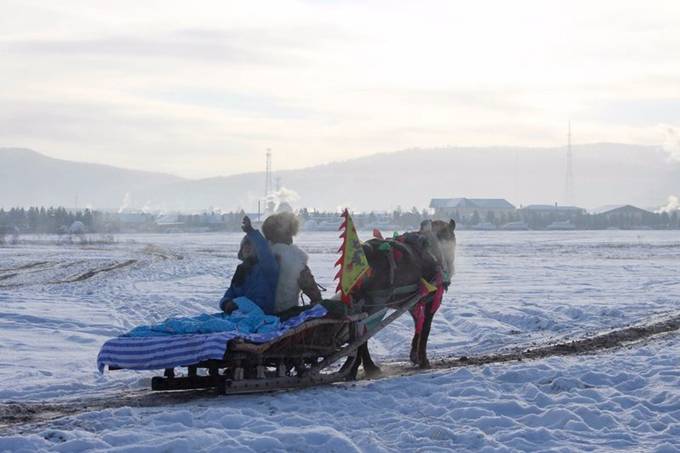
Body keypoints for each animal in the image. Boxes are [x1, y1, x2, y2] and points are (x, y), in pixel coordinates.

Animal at [350, 219, 456, 378]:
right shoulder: (431, 298)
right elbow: (426, 328)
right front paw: (423, 360)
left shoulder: (413, 302)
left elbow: (418, 324)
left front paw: (414, 356)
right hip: (376, 303)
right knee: (363, 333)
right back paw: (369, 366)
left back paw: (353, 366)